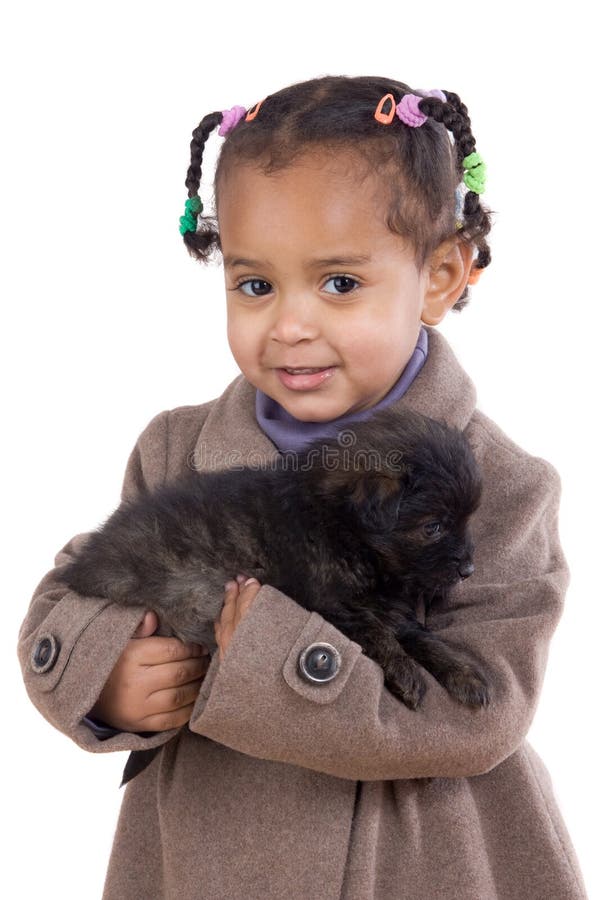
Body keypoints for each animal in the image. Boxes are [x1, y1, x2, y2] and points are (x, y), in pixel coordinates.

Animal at [63, 408, 490, 780]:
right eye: (433, 527)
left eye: (467, 520)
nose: (468, 570)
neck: (341, 525)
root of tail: (79, 570)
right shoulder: (335, 607)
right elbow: (380, 635)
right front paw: (405, 672)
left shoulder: (383, 606)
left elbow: (421, 636)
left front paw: (464, 671)